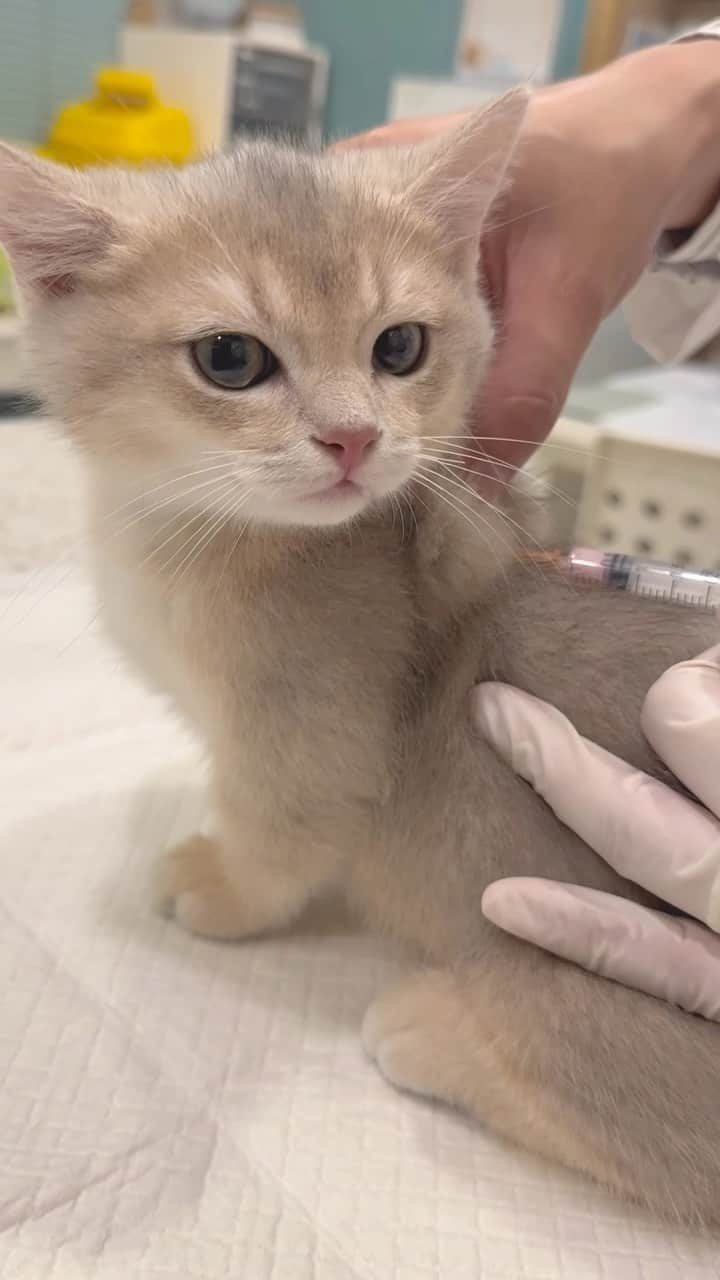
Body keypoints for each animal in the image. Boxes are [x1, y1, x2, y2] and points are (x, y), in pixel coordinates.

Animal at [2, 94, 712, 1223]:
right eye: (231, 360)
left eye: (400, 346)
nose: (352, 439)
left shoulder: (306, 737)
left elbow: (284, 832)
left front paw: (223, 887)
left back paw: (434, 1031)